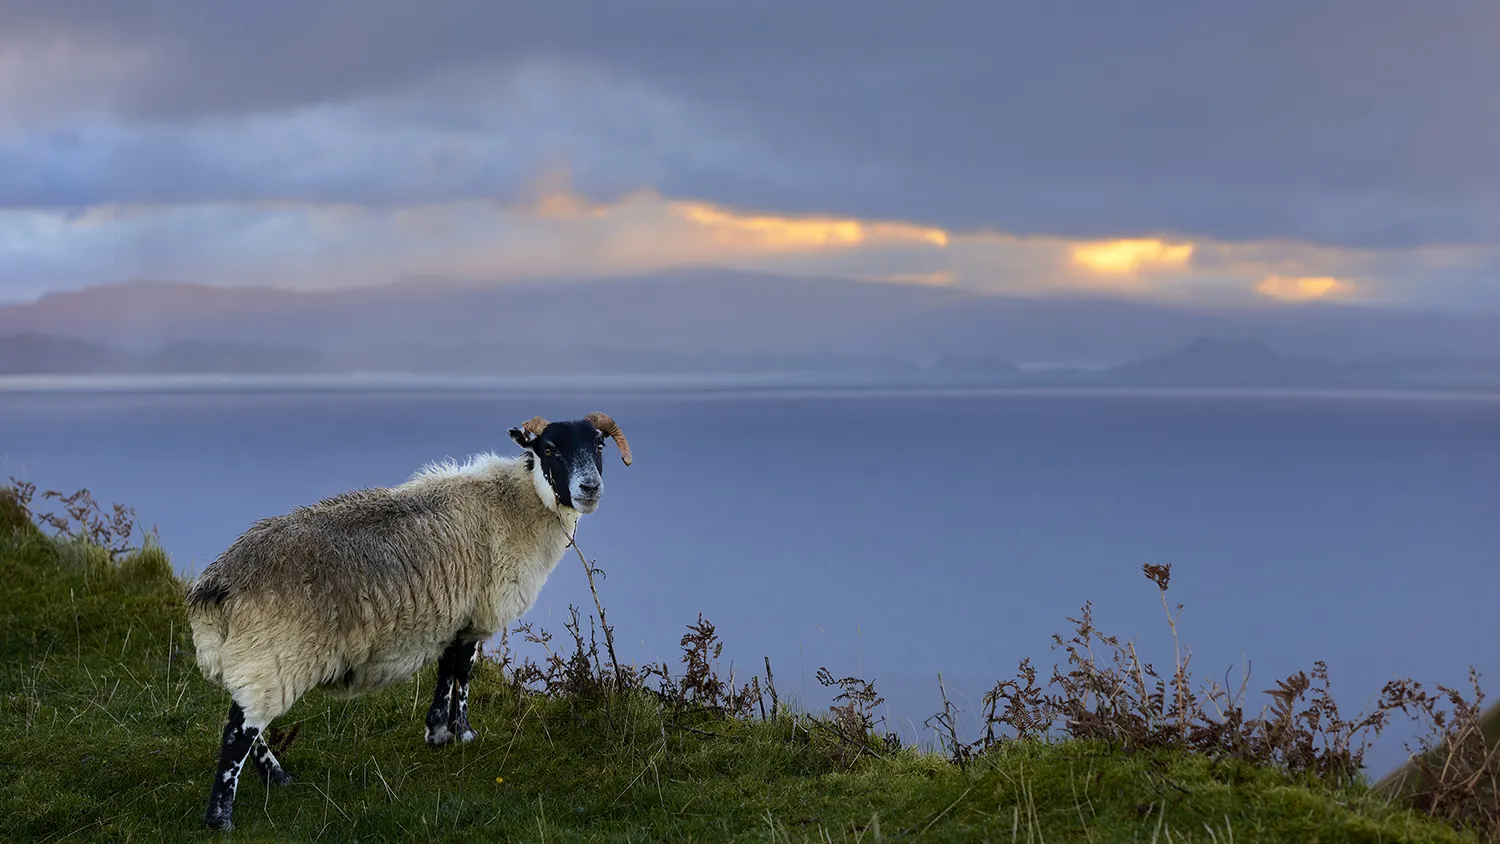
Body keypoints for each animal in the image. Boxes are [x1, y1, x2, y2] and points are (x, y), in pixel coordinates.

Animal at [184, 413, 630, 827]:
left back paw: (277, 777)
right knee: (236, 733)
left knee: (243, 719)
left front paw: (437, 732)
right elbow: (463, 673)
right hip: (273, 657)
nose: (589, 488)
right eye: (549, 449)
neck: (517, 501)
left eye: (599, 446)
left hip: (253, 661)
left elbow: (445, 671)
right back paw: (220, 817)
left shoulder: (454, 613)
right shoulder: (477, 613)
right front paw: (463, 734)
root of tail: (215, 588)